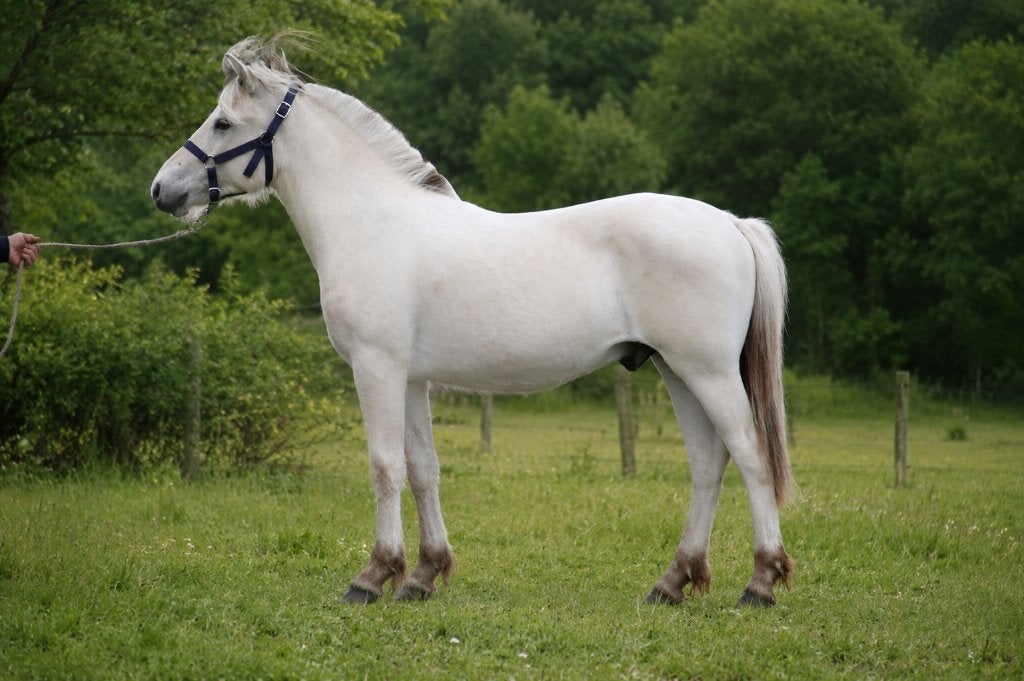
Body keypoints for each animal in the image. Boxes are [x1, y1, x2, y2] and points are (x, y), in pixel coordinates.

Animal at [151, 36, 796, 607]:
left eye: (223, 124)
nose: (162, 190)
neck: (372, 222)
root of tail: (731, 223)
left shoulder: (376, 367)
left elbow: (384, 466)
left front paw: (373, 577)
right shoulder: (411, 377)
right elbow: (422, 470)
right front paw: (422, 576)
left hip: (707, 372)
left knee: (750, 456)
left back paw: (760, 584)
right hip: (676, 371)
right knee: (709, 463)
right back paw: (672, 583)